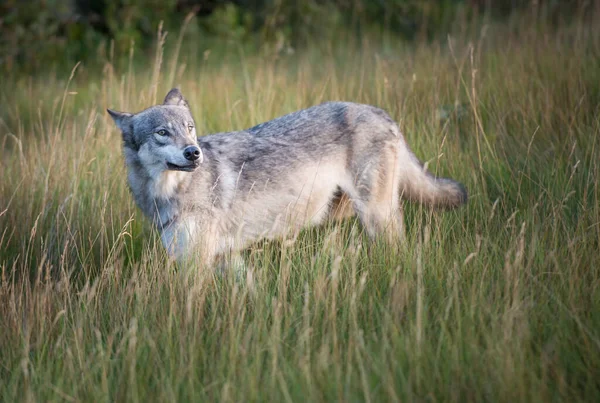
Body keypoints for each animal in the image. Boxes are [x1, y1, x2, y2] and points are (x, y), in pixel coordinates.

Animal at [108, 89, 466, 272]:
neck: (169, 195)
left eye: (189, 128)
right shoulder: (223, 259)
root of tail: (380, 112)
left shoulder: (198, 265)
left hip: (375, 215)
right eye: (162, 133)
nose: (194, 153)